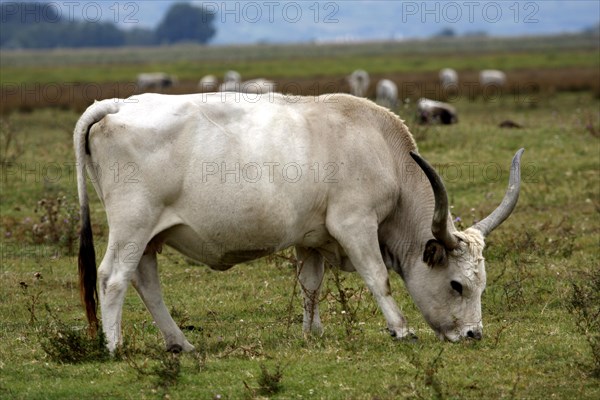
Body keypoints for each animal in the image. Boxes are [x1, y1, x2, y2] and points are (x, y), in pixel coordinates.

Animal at [75, 92, 524, 352]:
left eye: (481, 284)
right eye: (457, 284)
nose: (474, 334)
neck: (382, 150)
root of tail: (118, 103)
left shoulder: (312, 237)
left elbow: (311, 284)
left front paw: (313, 332)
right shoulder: (354, 224)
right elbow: (378, 278)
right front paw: (400, 329)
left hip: (149, 234)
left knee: (146, 281)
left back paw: (180, 343)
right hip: (132, 226)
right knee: (113, 278)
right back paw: (114, 346)